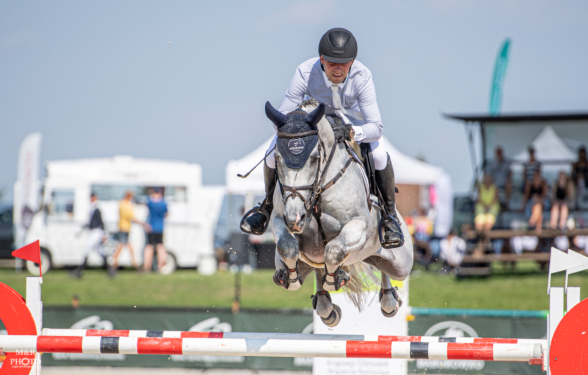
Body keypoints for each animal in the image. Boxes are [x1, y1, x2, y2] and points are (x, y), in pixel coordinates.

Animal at [266, 98, 414, 328]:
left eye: (314, 158)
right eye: (277, 158)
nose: (296, 219)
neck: (318, 189)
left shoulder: (358, 225)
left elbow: (334, 251)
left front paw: (333, 278)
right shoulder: (278, 219)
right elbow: (286, 245)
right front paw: (290, 277)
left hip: (400, 262)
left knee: (389, 272)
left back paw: (390, 299)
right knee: (316, 269)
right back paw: (325, 306)